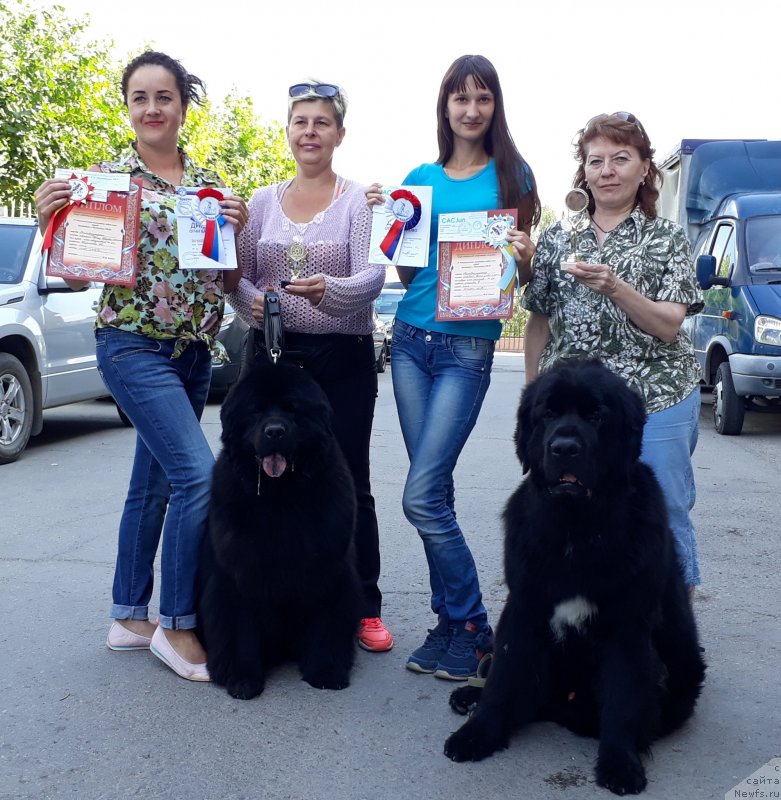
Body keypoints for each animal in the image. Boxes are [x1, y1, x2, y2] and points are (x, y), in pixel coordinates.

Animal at [200, 360, 362, 696]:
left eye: (293, 409)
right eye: (256, 410)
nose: (275, 431)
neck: (281, 496)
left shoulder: (328, 571)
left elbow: (327, 623)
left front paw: (326, 671)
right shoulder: (237, 574)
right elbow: (238, 627)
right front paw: (242, 677)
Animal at [444, 360, 708, 792]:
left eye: (596, 416)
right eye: (548, 414)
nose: (564, 447)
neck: (576, 529)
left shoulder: (626, 624)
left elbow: (621, 697)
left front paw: (619, 763)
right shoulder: (524, 607)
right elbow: (503, 675)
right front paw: (477, 734)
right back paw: (470, 697)